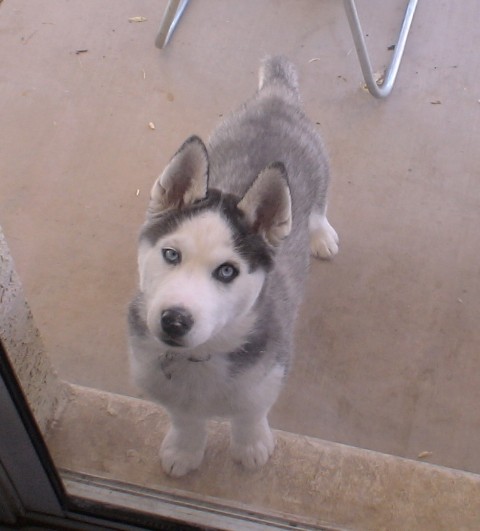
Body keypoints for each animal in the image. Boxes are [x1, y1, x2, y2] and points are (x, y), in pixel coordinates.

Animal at [127, 55, 338, 478]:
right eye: (171, 254)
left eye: (227, 271)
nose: (174, 320)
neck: (201, 355)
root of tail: (274, 97)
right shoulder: (159, 382)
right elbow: (184, 418)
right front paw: (185, 448)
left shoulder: (268, 372)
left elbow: (250, 412)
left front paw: (251, 445)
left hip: (319, 170)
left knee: (318, 206)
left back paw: (321, 233)